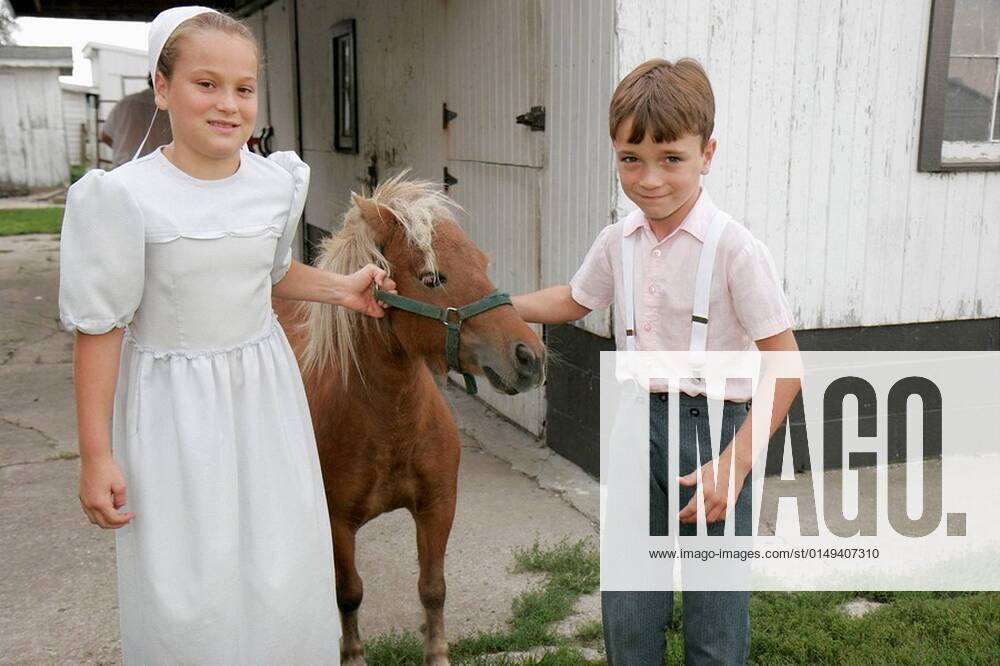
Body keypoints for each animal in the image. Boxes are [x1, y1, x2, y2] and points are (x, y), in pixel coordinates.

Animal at [270, 174, 544, 660]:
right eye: (432, 277)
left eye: (484, 262)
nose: (529, 357)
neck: (389, 423)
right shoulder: (338, 524)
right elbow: (349, 593)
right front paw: (352, 655)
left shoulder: (438, 507)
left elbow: (433, 588)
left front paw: (438, 654)